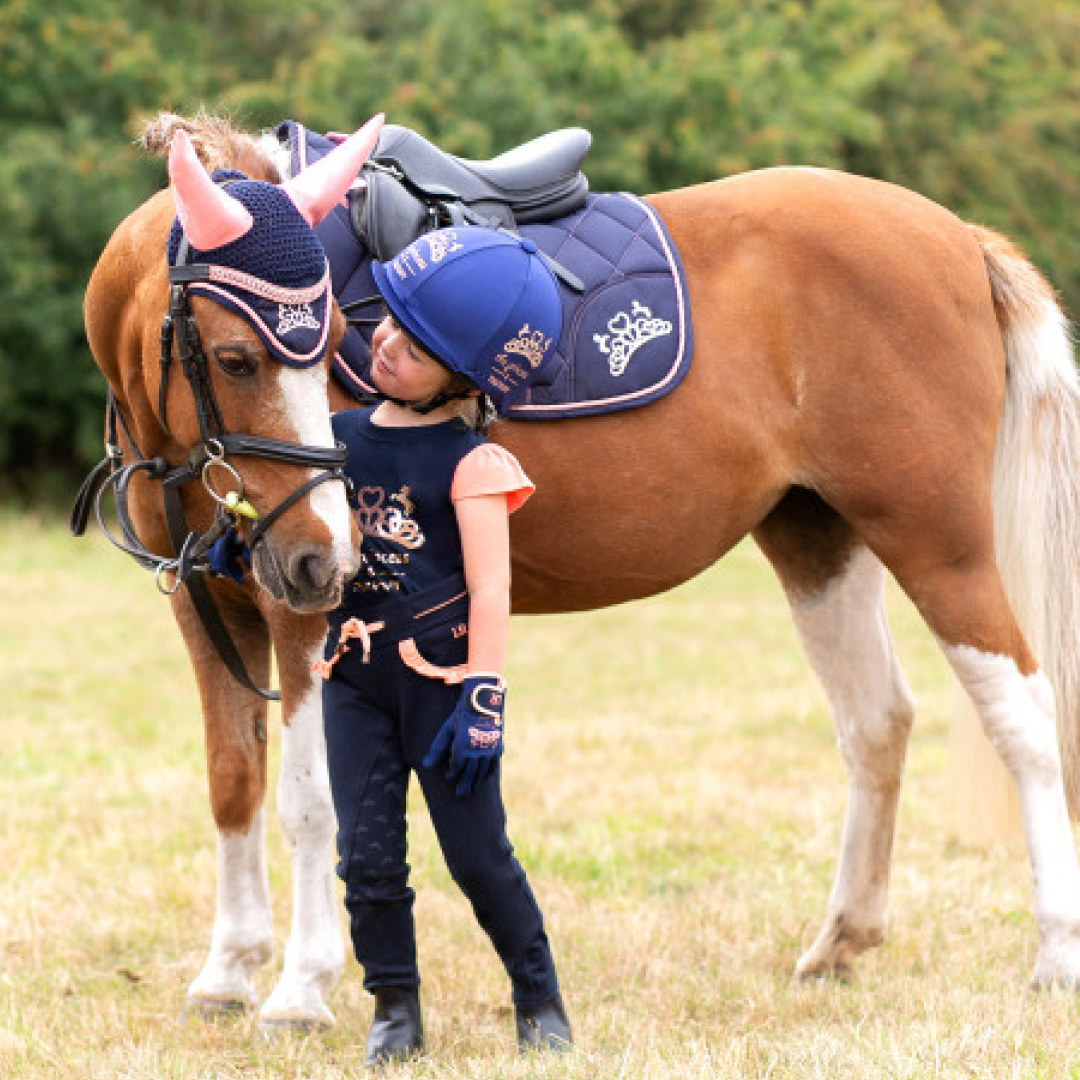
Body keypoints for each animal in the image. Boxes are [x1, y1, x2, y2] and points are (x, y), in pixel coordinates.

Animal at [81, 110, 1080, 1030]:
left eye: (329, 347)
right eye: (236, 357)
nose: (323, 554)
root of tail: (959, 238)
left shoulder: (303, 619)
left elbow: (309, 800)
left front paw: (300, 987)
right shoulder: (211, 606)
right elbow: (232, 781)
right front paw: (227, 972)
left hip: (937, 539)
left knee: (1023, 716)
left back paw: (1055, 953)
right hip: (819, 539)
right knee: (876, 722)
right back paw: (840, 941)